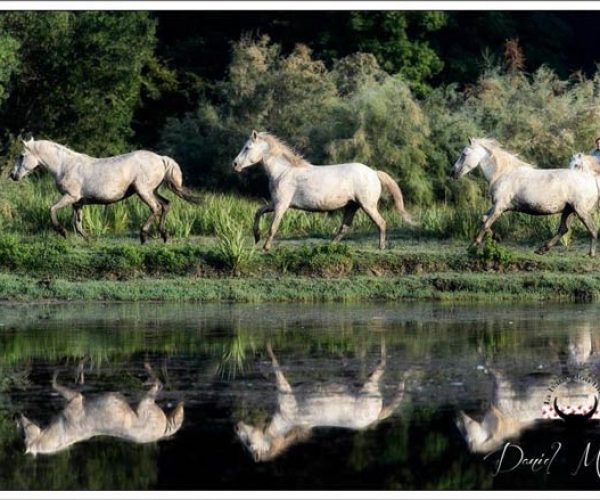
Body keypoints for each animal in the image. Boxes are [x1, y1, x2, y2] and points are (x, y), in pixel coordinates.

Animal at [9, 138, 200, 243]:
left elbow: (52, 209)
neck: (64, 166)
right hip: (152, 191)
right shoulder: (78, 203)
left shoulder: (70, 197)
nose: (12, 175)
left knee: (156, 207)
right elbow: (78, 224)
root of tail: (161, 158)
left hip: (143, 191)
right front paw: (89, 239)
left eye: (21, 156)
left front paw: (62, 232)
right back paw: (164, 235)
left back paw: (143, 235)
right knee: (166, 205)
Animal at [232, 132, 414, 252]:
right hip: (352, 206)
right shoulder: (275, 203)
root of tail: (374, 172)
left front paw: (266, 246)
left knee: (381, 223)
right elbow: (258, 211)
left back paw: (381, 247)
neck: (283, 172)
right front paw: (256, 236)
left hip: (367, 205)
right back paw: (329, 246)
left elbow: (273, 227)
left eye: (247, 148)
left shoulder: (281, 205)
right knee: (344, 228)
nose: (235, 164)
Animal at [450, 139, 600, 256]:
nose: (452, 172)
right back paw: (542, 249)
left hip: (580, 210)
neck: (503, 173)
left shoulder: (499, 206)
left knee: (592, 229)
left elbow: (486, 222)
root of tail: (591, 179)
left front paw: (473, 246)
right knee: (563, 229)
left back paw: (591, 253)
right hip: (568, 210)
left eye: (464, 154)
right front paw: (496, 237)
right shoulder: (499, 206)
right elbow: (484, 218)